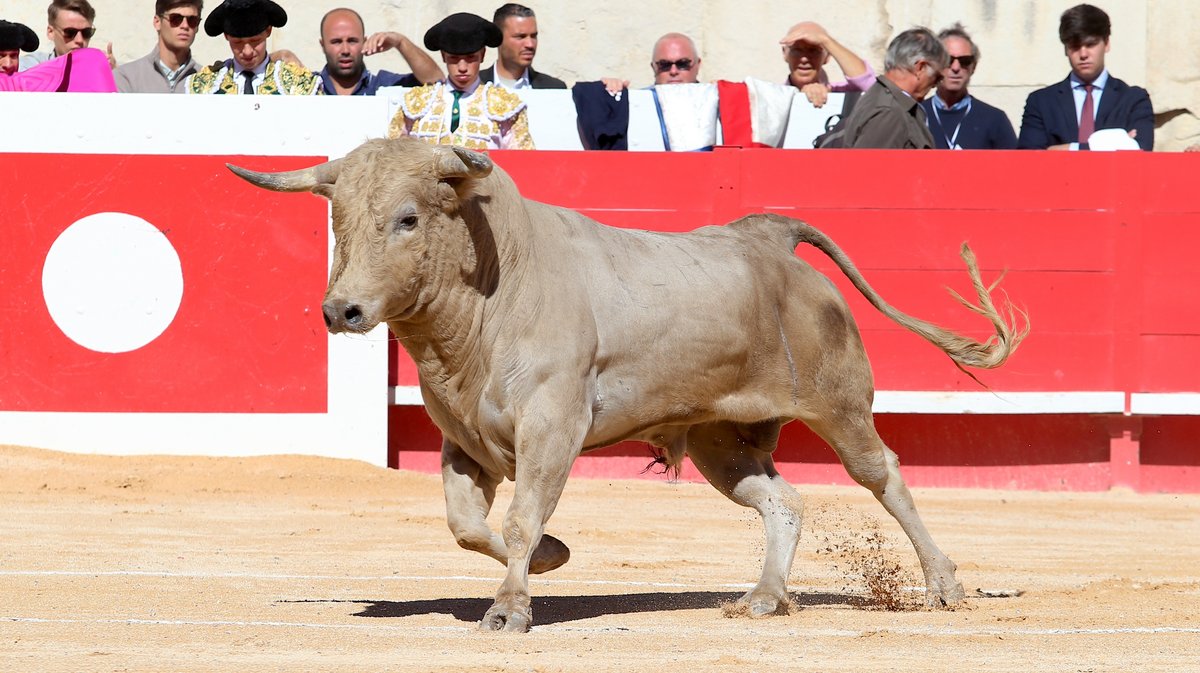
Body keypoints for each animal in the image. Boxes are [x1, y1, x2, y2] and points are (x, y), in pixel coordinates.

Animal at [229, 137, 1027, 628]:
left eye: (407, 218)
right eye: (337, 220)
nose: (342, 309)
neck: (493, 293)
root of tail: (765, 235)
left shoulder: (553, 426)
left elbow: (518, 517)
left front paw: (510, 607)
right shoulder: (462, 440)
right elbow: (468, 524)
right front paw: (550, 558)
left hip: (841, 406)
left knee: (882, 474)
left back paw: (943, 584)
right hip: (720, 440)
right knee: (781, 498)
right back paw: (766, 596)